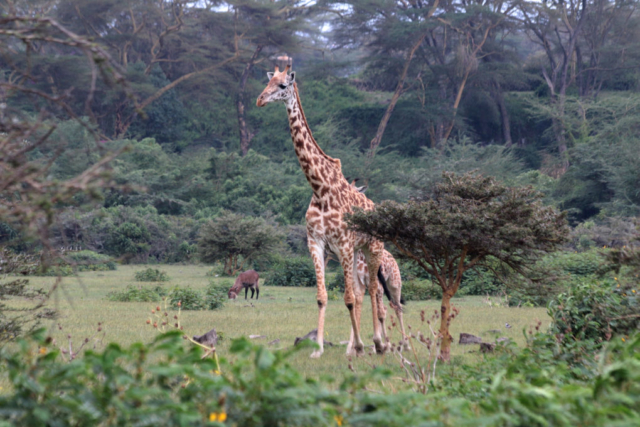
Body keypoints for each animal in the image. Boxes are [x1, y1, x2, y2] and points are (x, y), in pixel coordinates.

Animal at [256, 66, 388, 358]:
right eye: (267, 82)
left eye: (282, 86)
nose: (259, 100)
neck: (320, 188)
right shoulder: (316, 243)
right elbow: (322, 296)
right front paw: (317, 350)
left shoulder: (344, 244)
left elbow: (348, 298)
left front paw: (359, 346)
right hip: (357, 252)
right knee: (363, 291)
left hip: (371, 248)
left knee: (373, 289)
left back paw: (378, 343)